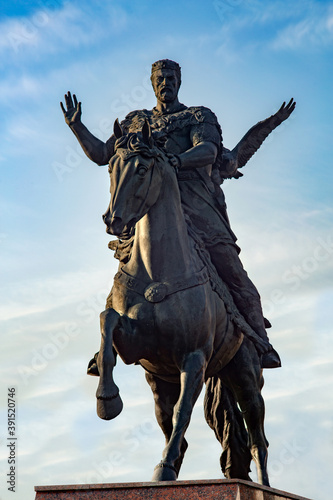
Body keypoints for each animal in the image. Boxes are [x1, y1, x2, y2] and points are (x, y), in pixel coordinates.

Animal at [92, 120, 270, 484]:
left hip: (246, 376)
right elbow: (107, 321)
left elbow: (183, 412)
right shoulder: (134, 346)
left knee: (258, 440)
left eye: (142, 168)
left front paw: (163, 467)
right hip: (160, 381)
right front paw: (107, 401)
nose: (112, 221)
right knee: (170, 421)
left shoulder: (195, 358)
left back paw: (264, 485)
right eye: (111, 168)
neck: (157, 269)